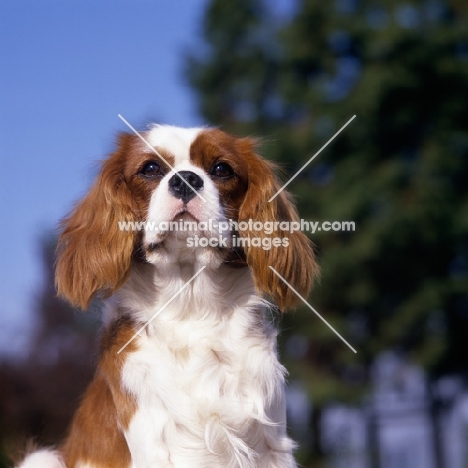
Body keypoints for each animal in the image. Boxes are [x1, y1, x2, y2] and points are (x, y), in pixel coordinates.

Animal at [18, 125, 318, 468]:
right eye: (150, 168)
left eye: (221, 169)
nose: (185, 178)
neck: (192, 306)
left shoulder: (271, 447)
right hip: (41, 458)